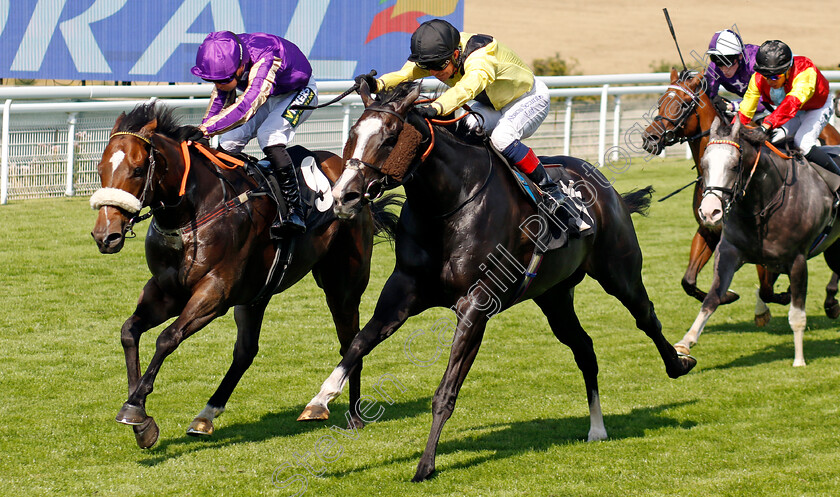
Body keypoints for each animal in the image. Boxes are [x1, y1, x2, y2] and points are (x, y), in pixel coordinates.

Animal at [90, 102, 398, 448]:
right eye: (101, 168)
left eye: (138, 168)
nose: (105, 234)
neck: (191, 211)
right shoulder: (166, 291)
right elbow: (129, 332)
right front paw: (141, 419)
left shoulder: (215, 292)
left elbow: (167, 338)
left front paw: (134, 409)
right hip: (257, 293)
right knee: (246, 352)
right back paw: (206, 415)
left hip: (342, 285)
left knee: (351, 341)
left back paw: (352, 414)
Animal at [296, 83, 696, 482]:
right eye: (352, 135)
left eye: (391, 137)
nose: (343, 196)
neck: (448, 204)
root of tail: (604, 184)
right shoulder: (403, 291)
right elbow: (358, 342)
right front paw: (319, 400)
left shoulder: (476, 305)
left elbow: (445, 391)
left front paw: (426, 465)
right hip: (554, 296)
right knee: (584, 347)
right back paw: (596, 428)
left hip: (619, 271)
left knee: (646, 316)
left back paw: (679, 363)